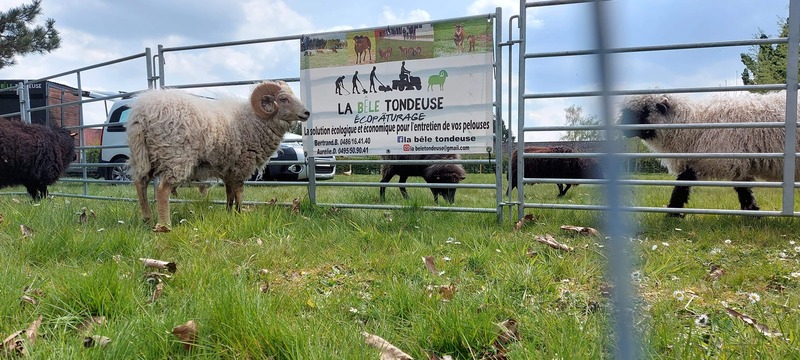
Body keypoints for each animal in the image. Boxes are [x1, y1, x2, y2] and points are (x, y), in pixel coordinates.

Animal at [127, 80, 310, 232]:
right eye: (283, 99)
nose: (307, 113)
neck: (253, 121)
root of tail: (142, 113)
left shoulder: (229, 169)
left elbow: (229, 193)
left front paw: (230, 214)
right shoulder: (241, 165)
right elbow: (239, 193)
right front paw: (240, 214)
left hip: (144, 155)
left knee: (140, 183)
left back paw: (147, 218)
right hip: (175, 155)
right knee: (162, 189)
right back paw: (164, 225)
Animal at [620, 93, 800, 215]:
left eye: (644, 110)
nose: (621, 127)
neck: (693, 127)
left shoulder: (719, 159)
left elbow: (682, 184)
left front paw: (672, 213)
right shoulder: (737, 163)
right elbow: (744, 191)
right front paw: (753, 213)